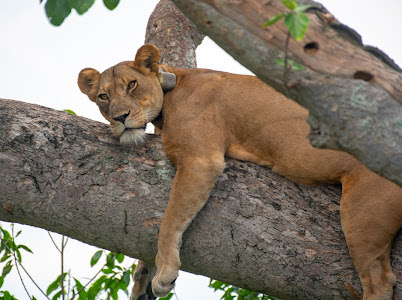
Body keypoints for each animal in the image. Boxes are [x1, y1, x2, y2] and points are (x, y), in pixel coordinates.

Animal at [77, 44, 400, 300]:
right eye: (103, 97)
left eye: (132, 84)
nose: (120, 117)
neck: (171, 84)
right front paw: (142, 285)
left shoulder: (201, 160)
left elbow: (169, 221)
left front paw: (165, 271)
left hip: (361, 214)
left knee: (380, 280)